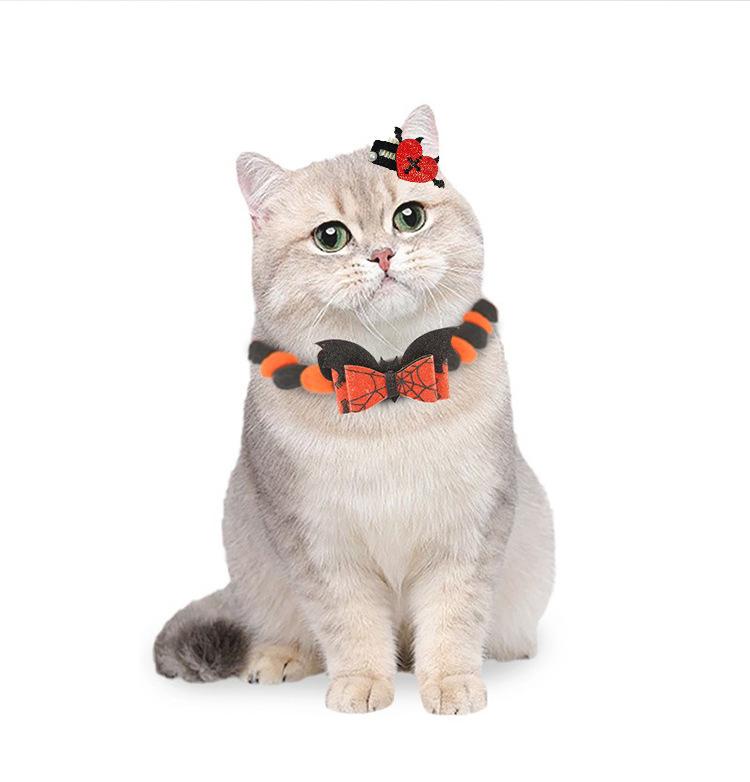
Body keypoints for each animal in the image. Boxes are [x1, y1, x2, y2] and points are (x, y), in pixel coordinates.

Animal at [153, 106, 554, 714]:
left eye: (409, 218)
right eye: (330, 237)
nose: (383, 255)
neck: (388, 379)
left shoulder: (466, 533)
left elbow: (454, 620)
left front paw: (451, 684)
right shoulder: (321, 545)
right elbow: (351, 626)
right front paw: (363, 684)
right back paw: (280, 658)